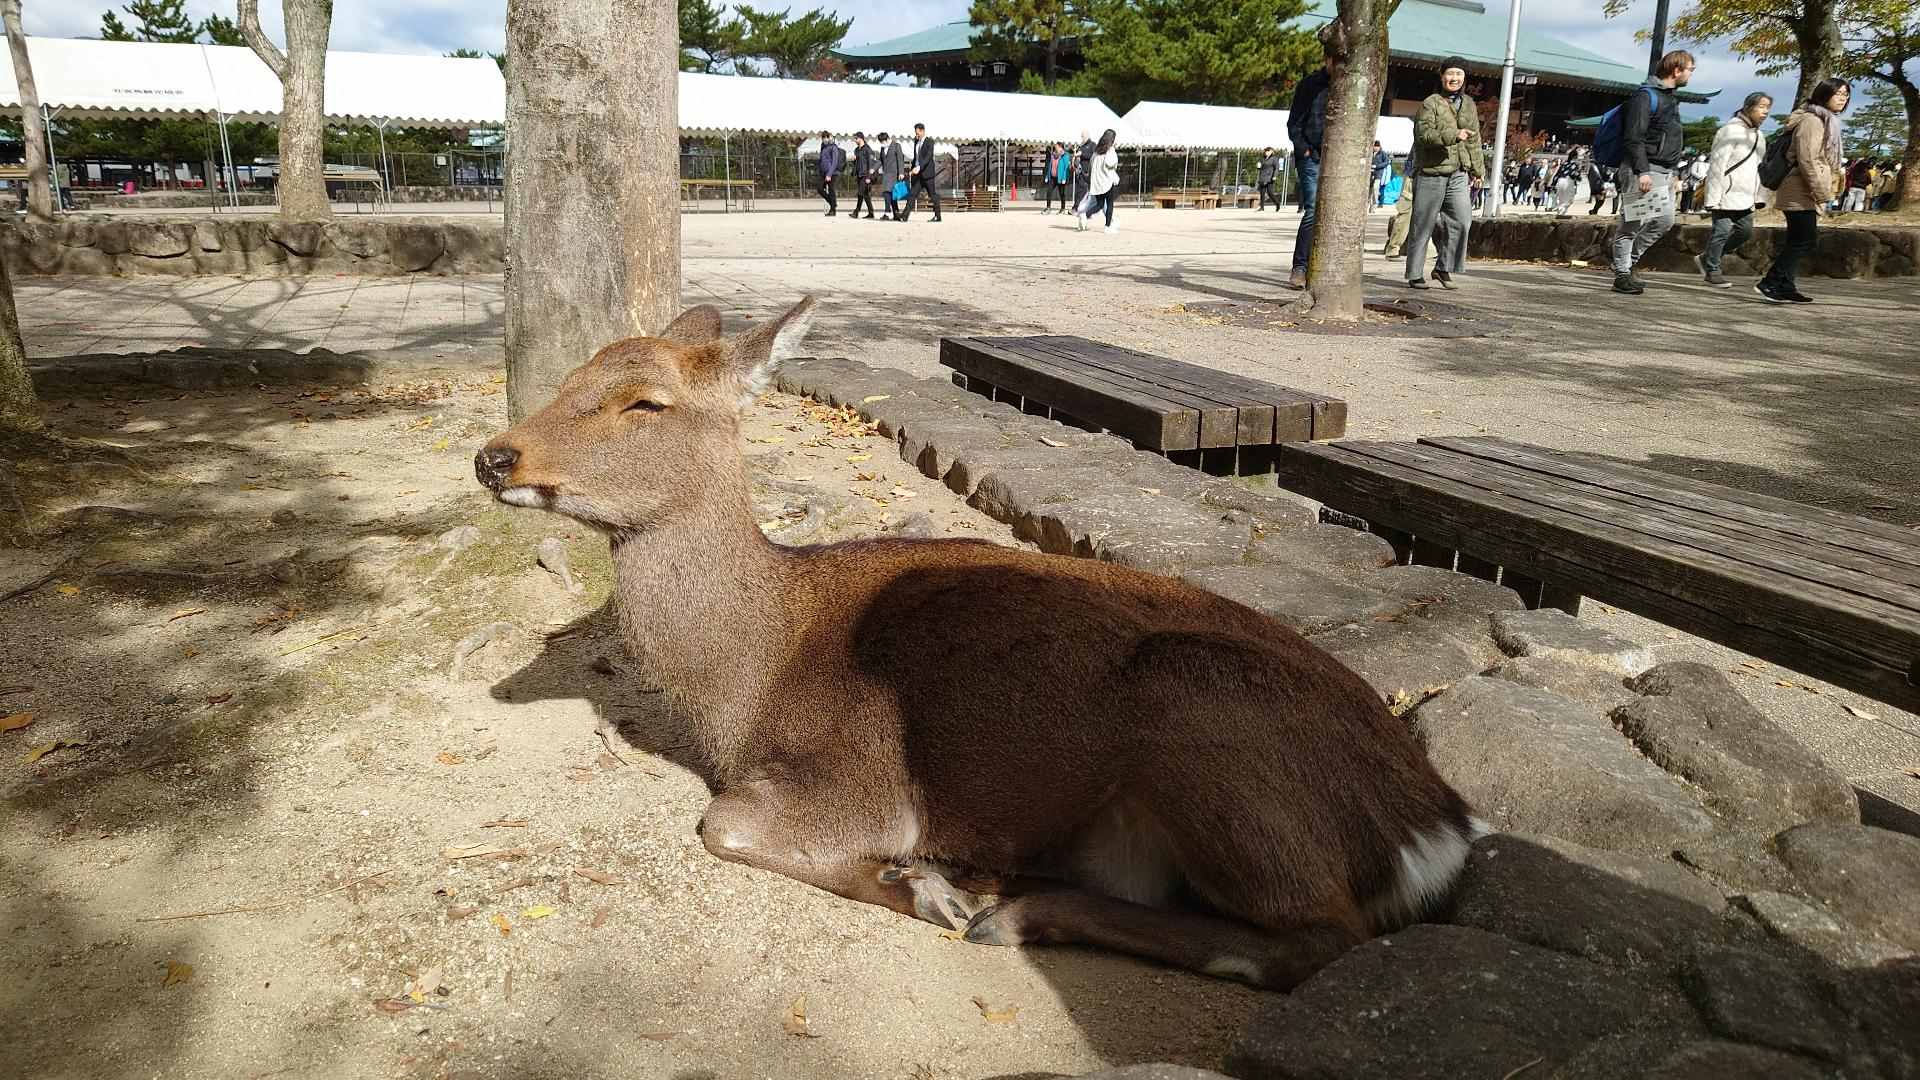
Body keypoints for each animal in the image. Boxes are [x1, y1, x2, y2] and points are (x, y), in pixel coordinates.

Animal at [474, 296, 1486, 990]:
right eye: (566, 377)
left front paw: (925, 887)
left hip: (1201, 704)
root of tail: (1437, 825)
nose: (494, 455)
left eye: (644, 402)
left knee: (1318, 937)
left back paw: (1015, 910)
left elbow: (723, 826)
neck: (744, 688)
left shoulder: (861, 778)